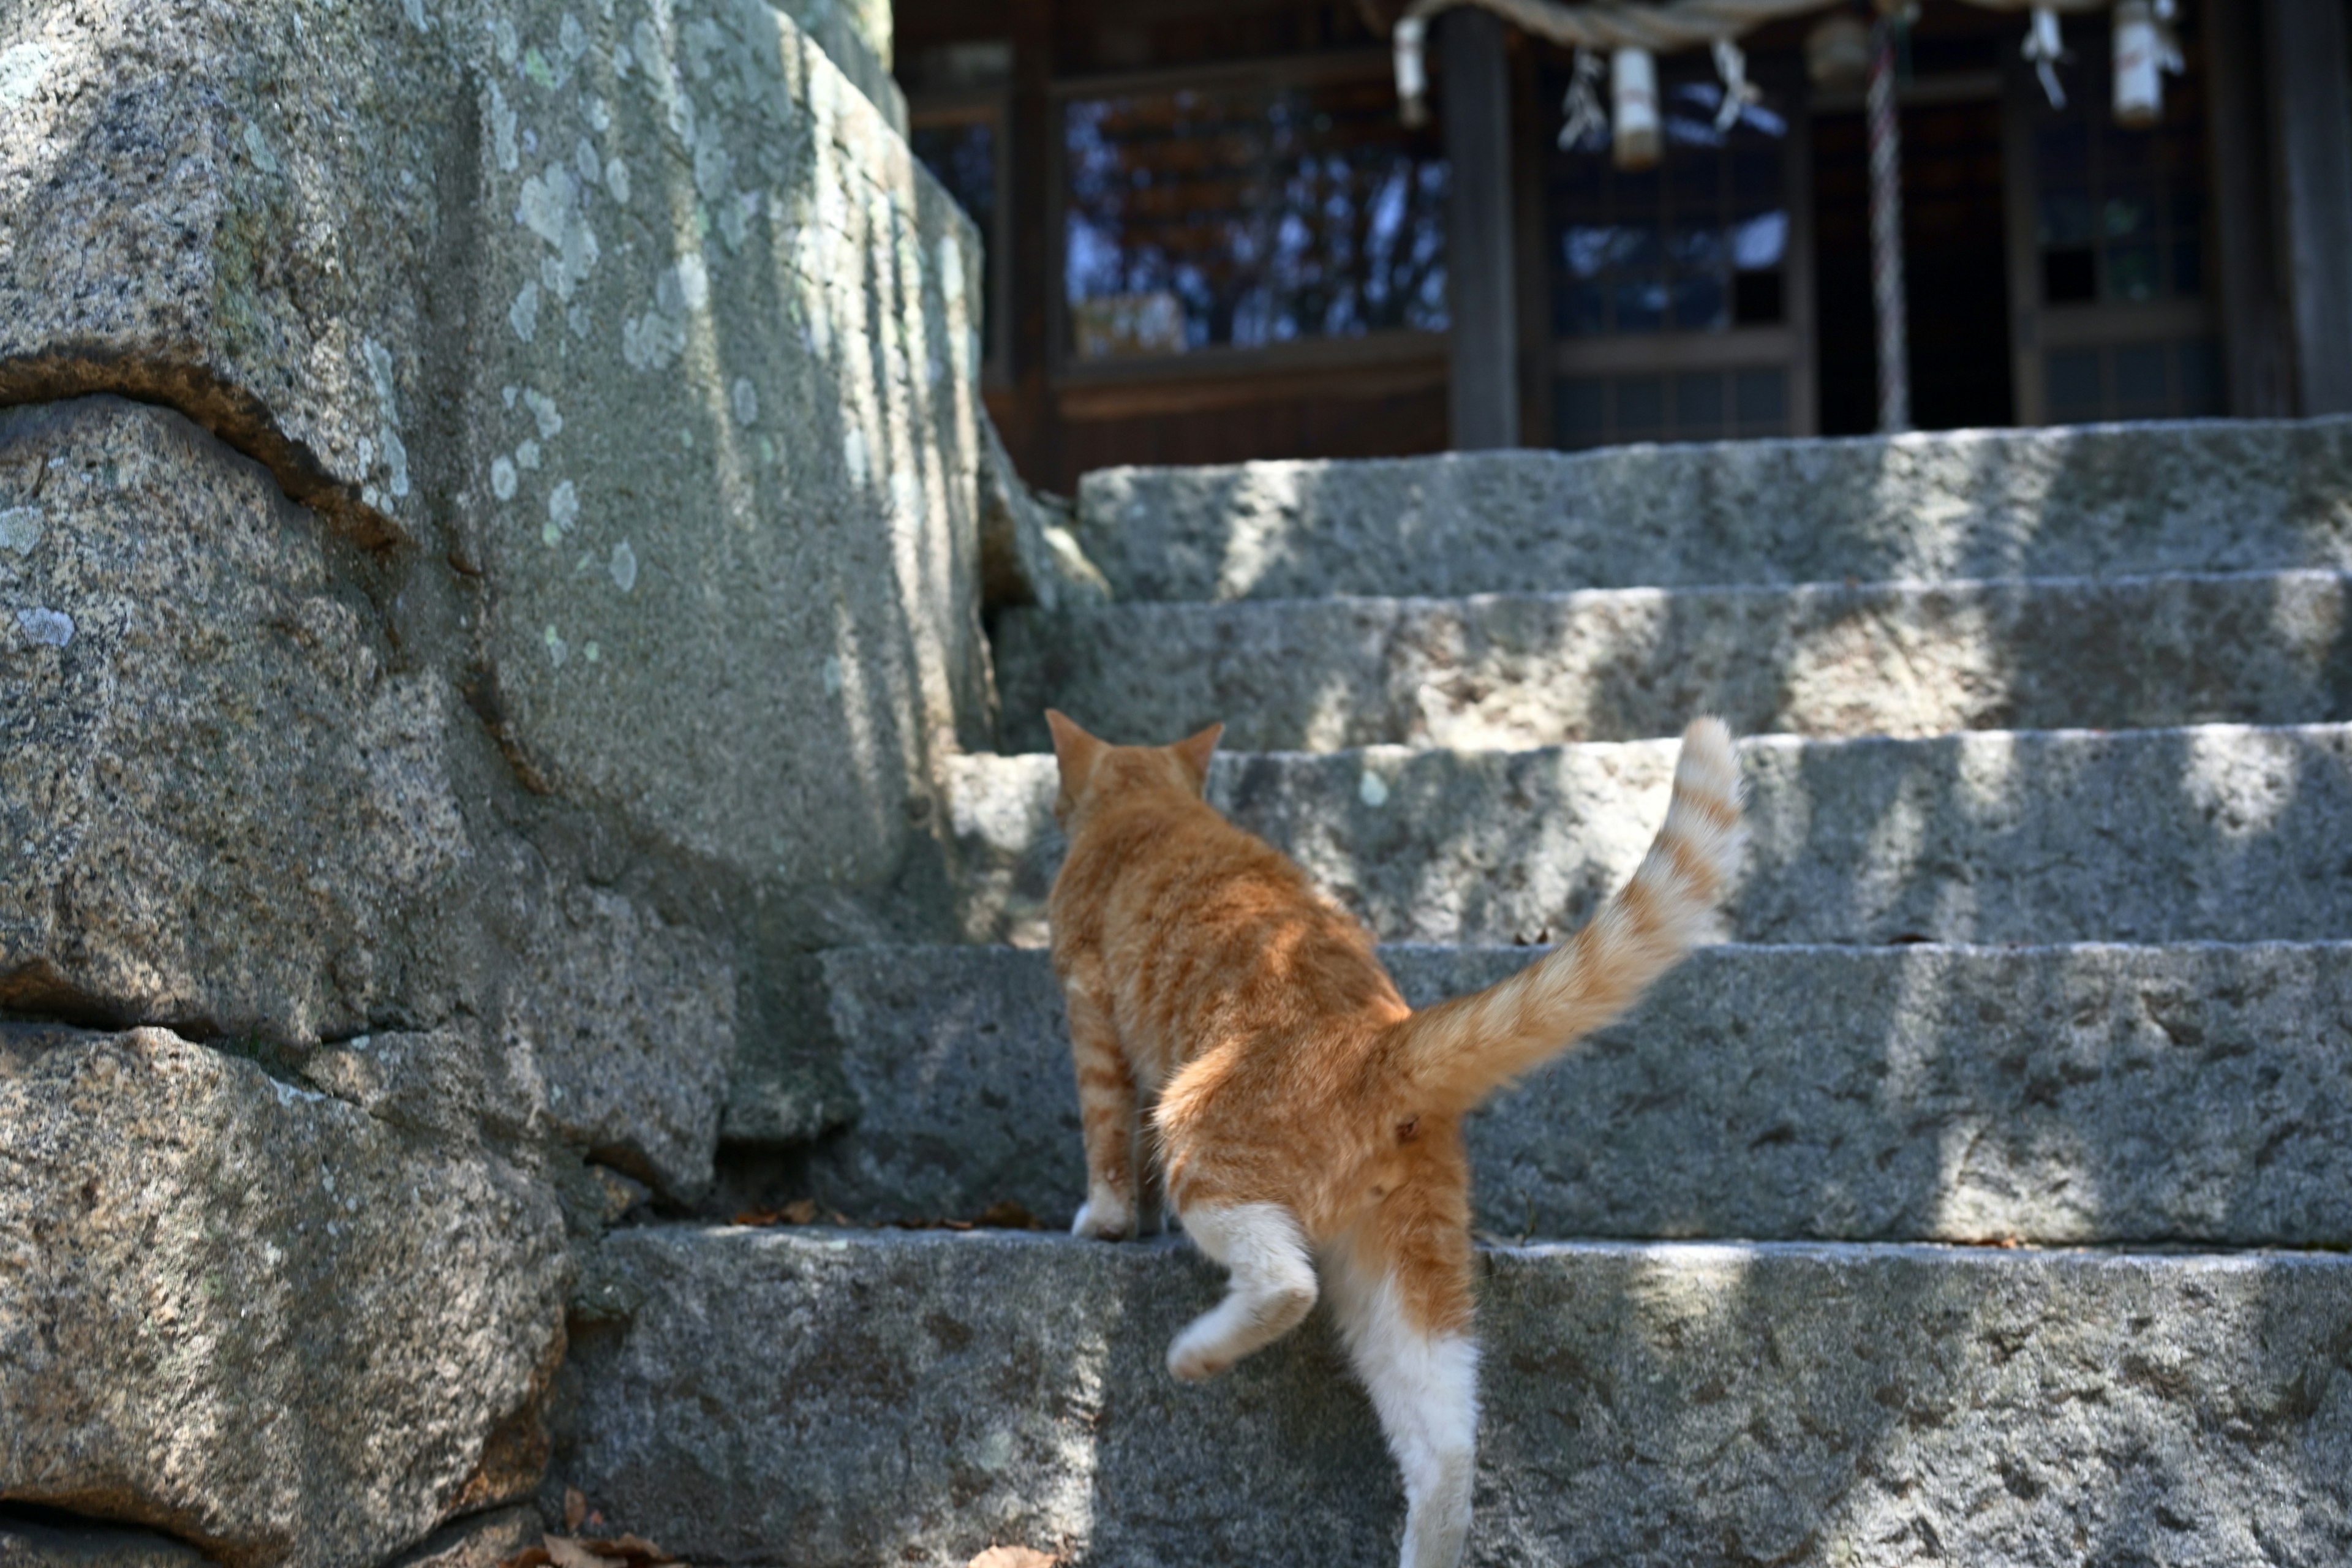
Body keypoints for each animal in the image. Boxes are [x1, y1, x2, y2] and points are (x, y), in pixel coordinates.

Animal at [1049, 714, 1749, 1568]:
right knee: (1446, 1446)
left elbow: (1105, 1136)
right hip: (1407, 1275)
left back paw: (1198, 1353)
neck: (1148, 805)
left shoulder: (1089, 1005)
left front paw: (1107, 1221)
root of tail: (1385, 1040)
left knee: (1287, 1284)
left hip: (1197, 1137)